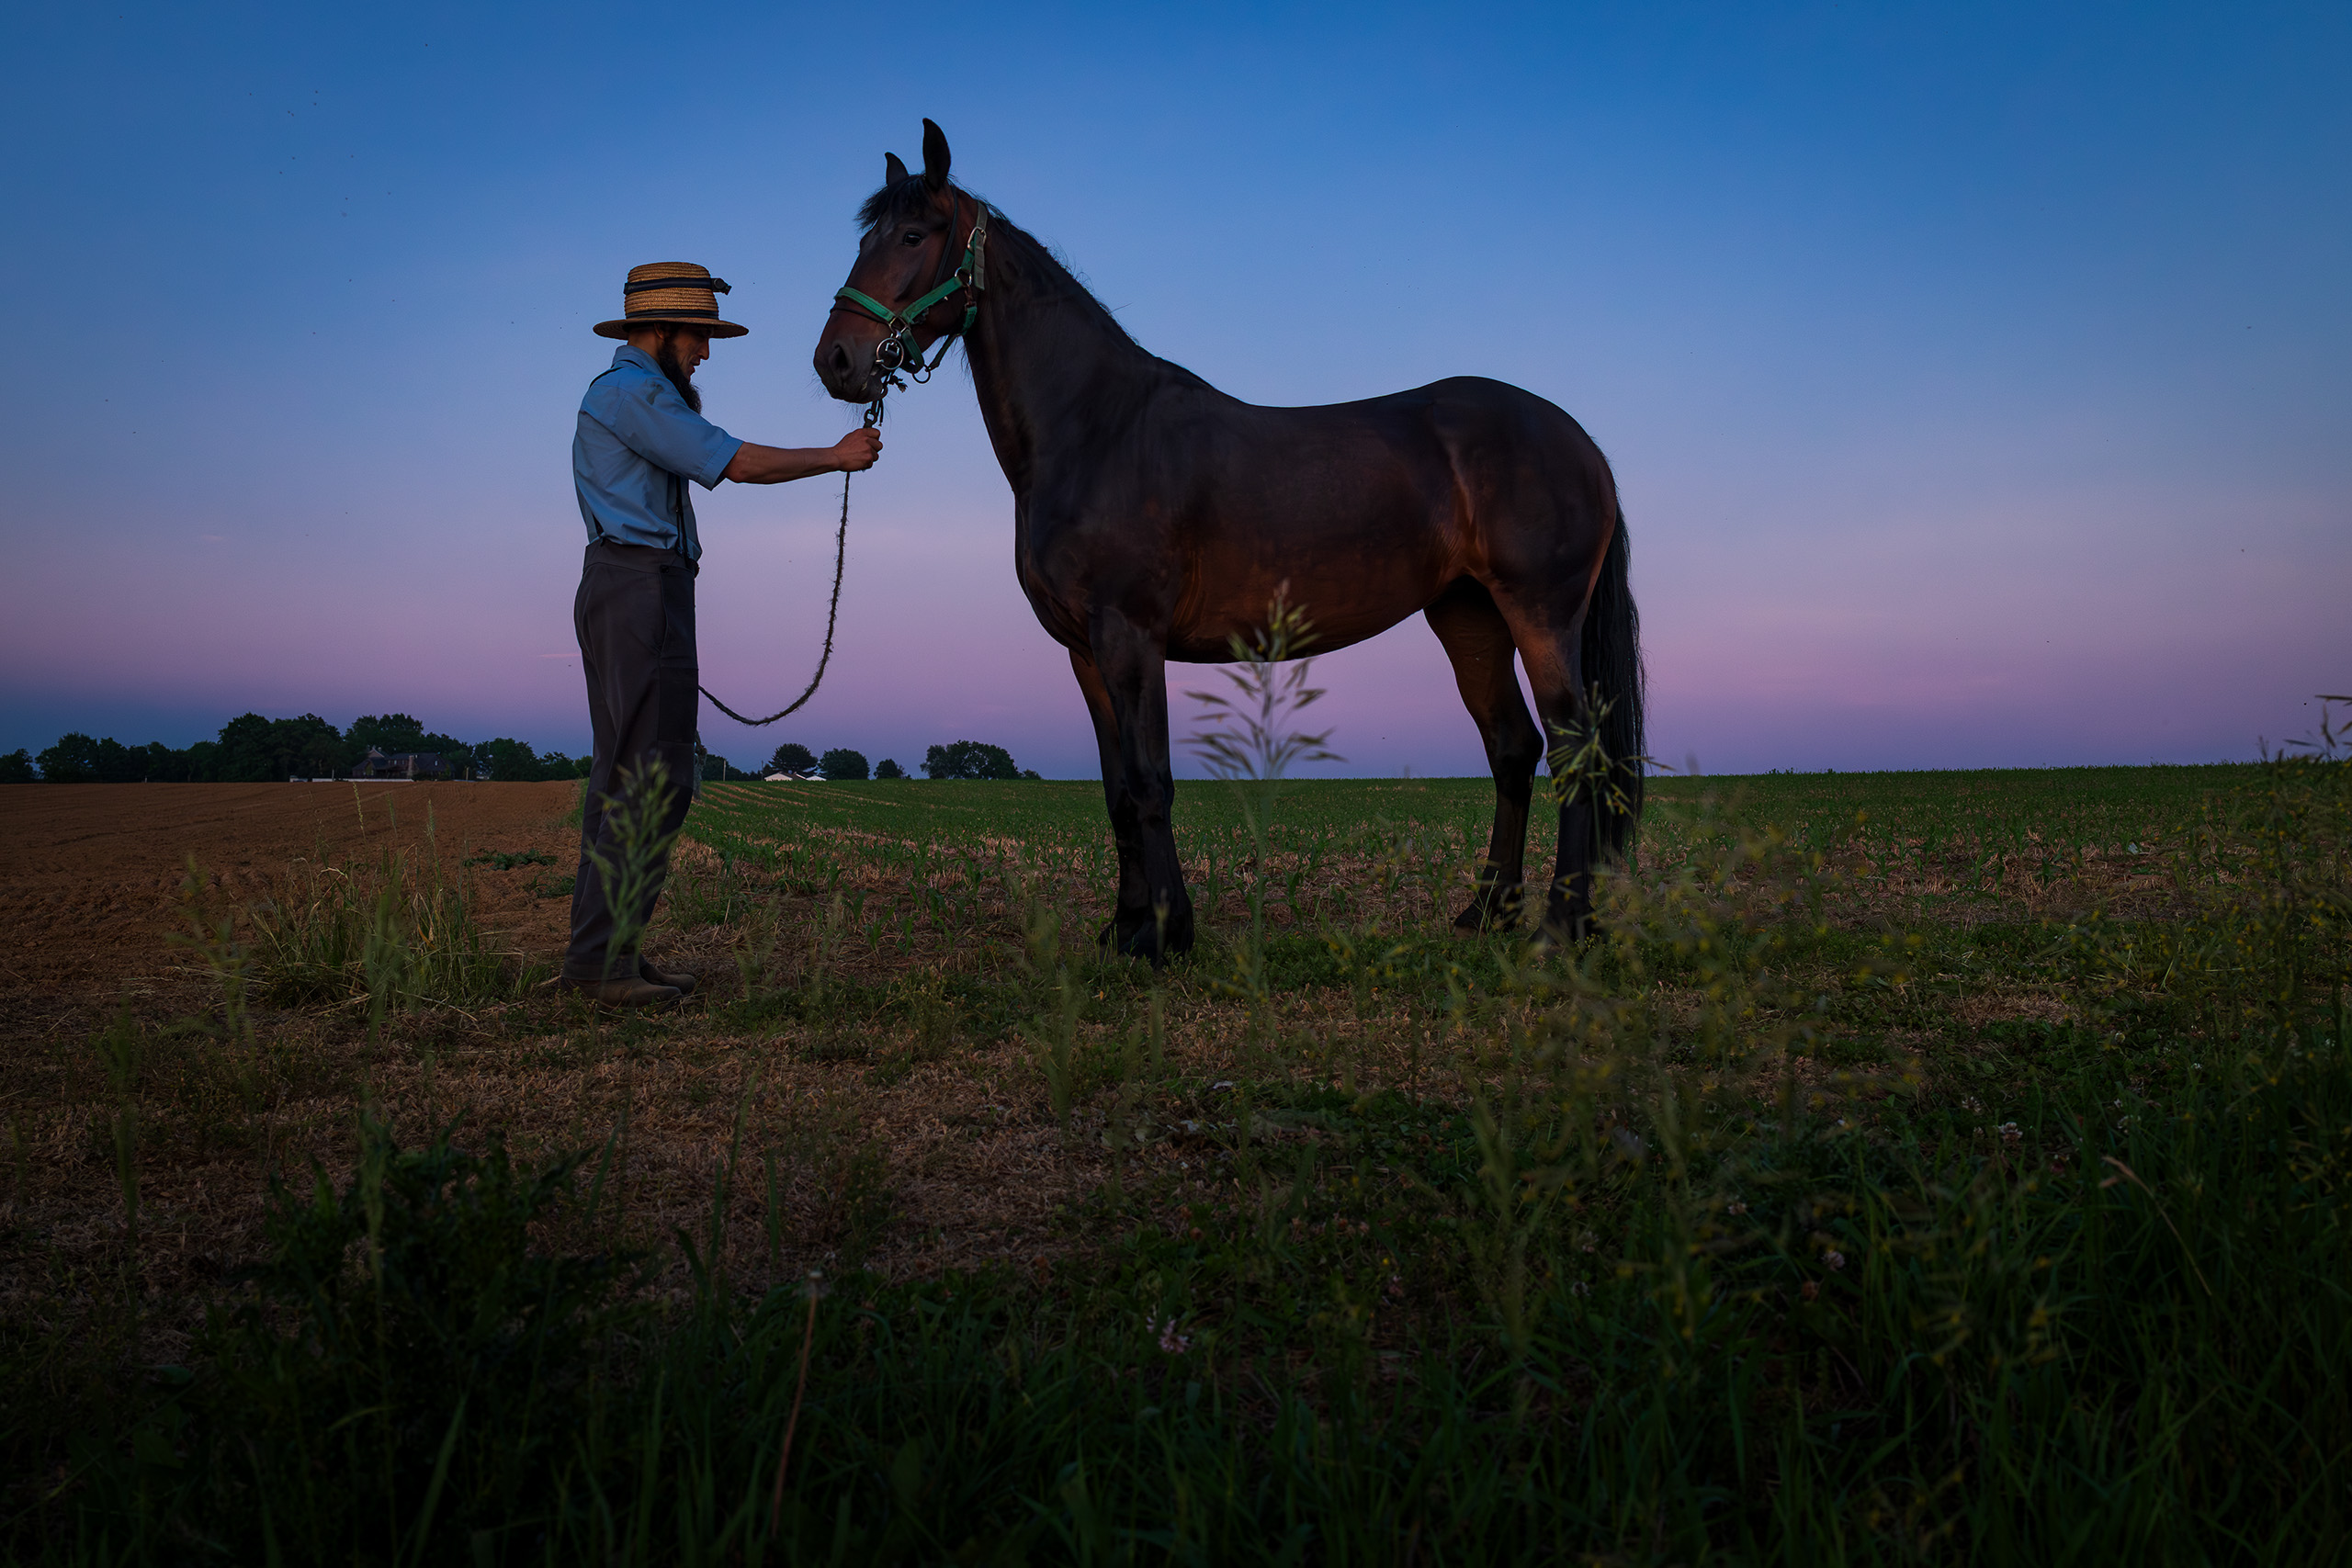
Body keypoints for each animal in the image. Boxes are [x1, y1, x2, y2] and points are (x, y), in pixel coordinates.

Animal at [813, 121, 1644, 961]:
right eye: (866, 237)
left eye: (913, 234)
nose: (836, 360)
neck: (1098, 429)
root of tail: (1580, 442)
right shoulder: (1085, 650)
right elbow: (1117, 792)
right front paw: (1126, 927)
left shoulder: (1132, 636)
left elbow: (1151, 781)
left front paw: (1165, 933)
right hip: (1470, 617)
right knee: (1512, 747)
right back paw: (1488, 911)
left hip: (1539, 613)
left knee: (1575, 749)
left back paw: (1561, 930)